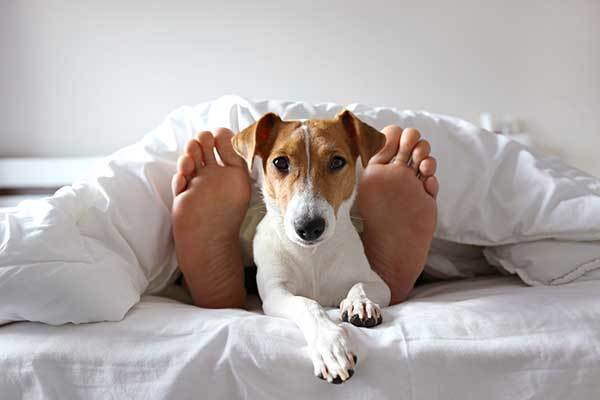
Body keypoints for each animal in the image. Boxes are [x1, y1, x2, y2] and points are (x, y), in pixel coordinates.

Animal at [232, 109, 392, 384]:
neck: (313, 255)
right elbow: (307, 304)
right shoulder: (276, 293)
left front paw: (360, 303)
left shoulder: (379, 283)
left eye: (337, 161)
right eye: (280, 162)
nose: (308, 226)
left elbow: (360, 286)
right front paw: (330, 344)